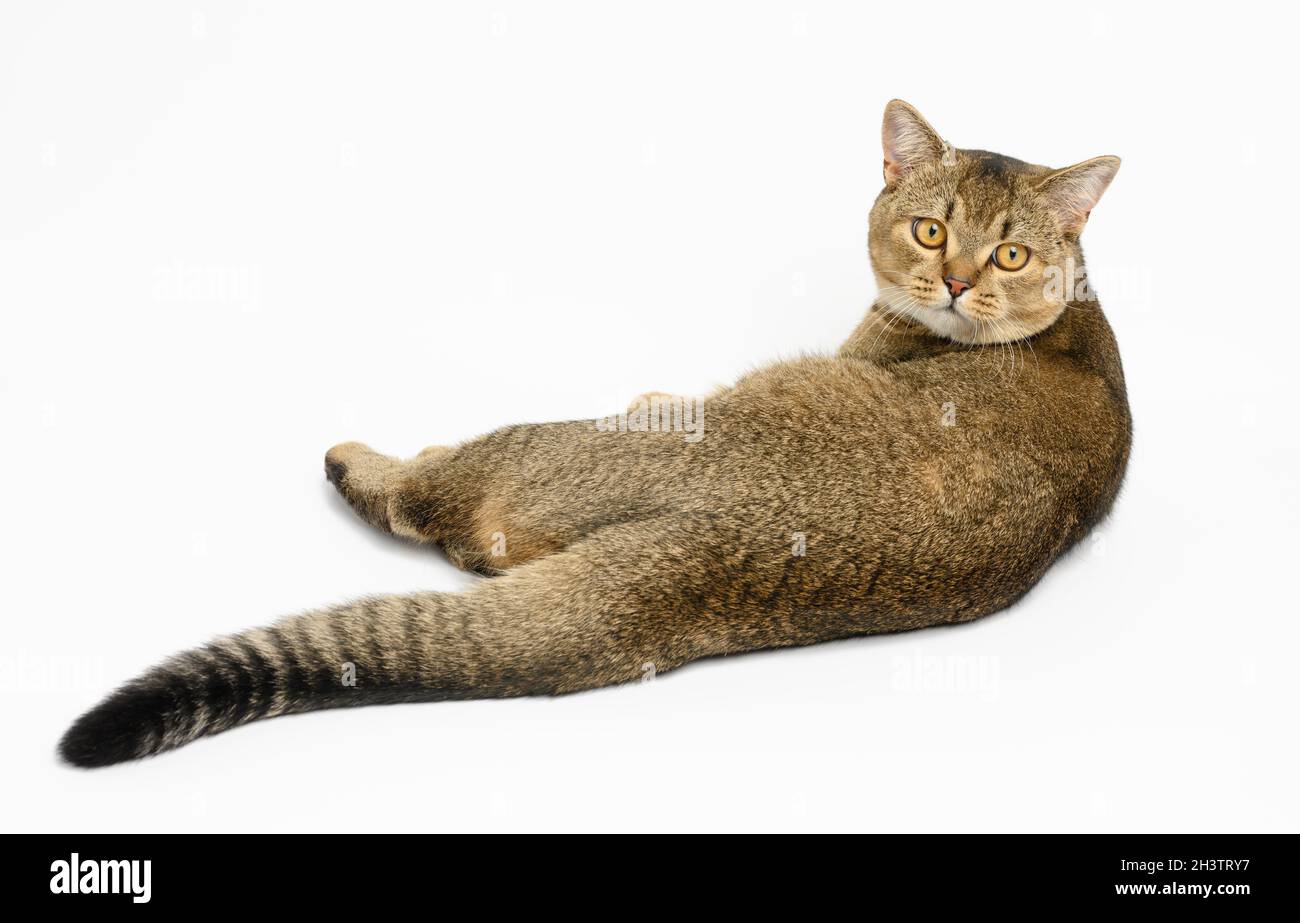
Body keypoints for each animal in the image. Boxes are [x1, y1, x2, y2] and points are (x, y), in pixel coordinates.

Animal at [55, 99, 1128, 764]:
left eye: (1009, 253)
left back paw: (376, 460)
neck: (1073, 319)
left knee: (430, 503)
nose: (954, 283)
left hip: (542, 444)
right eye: (932, 231)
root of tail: (718, 558)